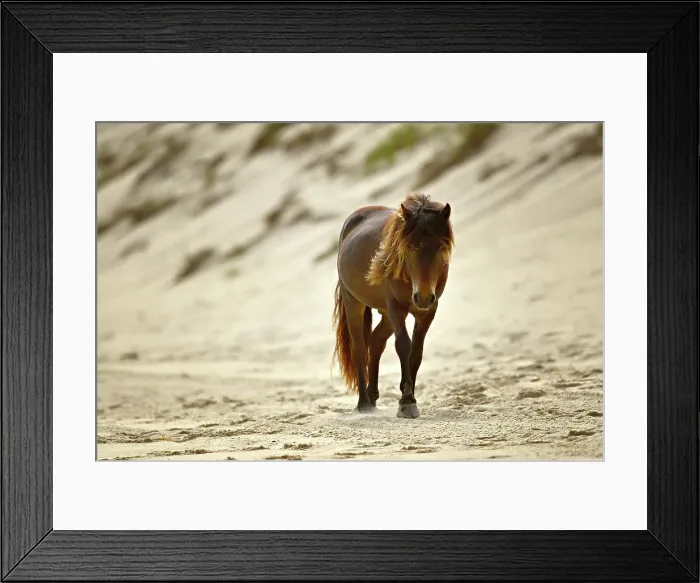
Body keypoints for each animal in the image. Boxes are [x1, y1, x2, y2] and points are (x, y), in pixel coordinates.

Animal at [332, 192, 454, 419]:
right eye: (410, 247)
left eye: (441, 247)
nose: (423, 297)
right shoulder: (397, 308)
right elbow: (403, 346)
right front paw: (407, 402)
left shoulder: (427, 313)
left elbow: (416, 353)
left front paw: (409, 398)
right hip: (354, 302)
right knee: (359, 348)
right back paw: (364, 403)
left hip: (387, 314)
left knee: (375, 341)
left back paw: (372, 395)